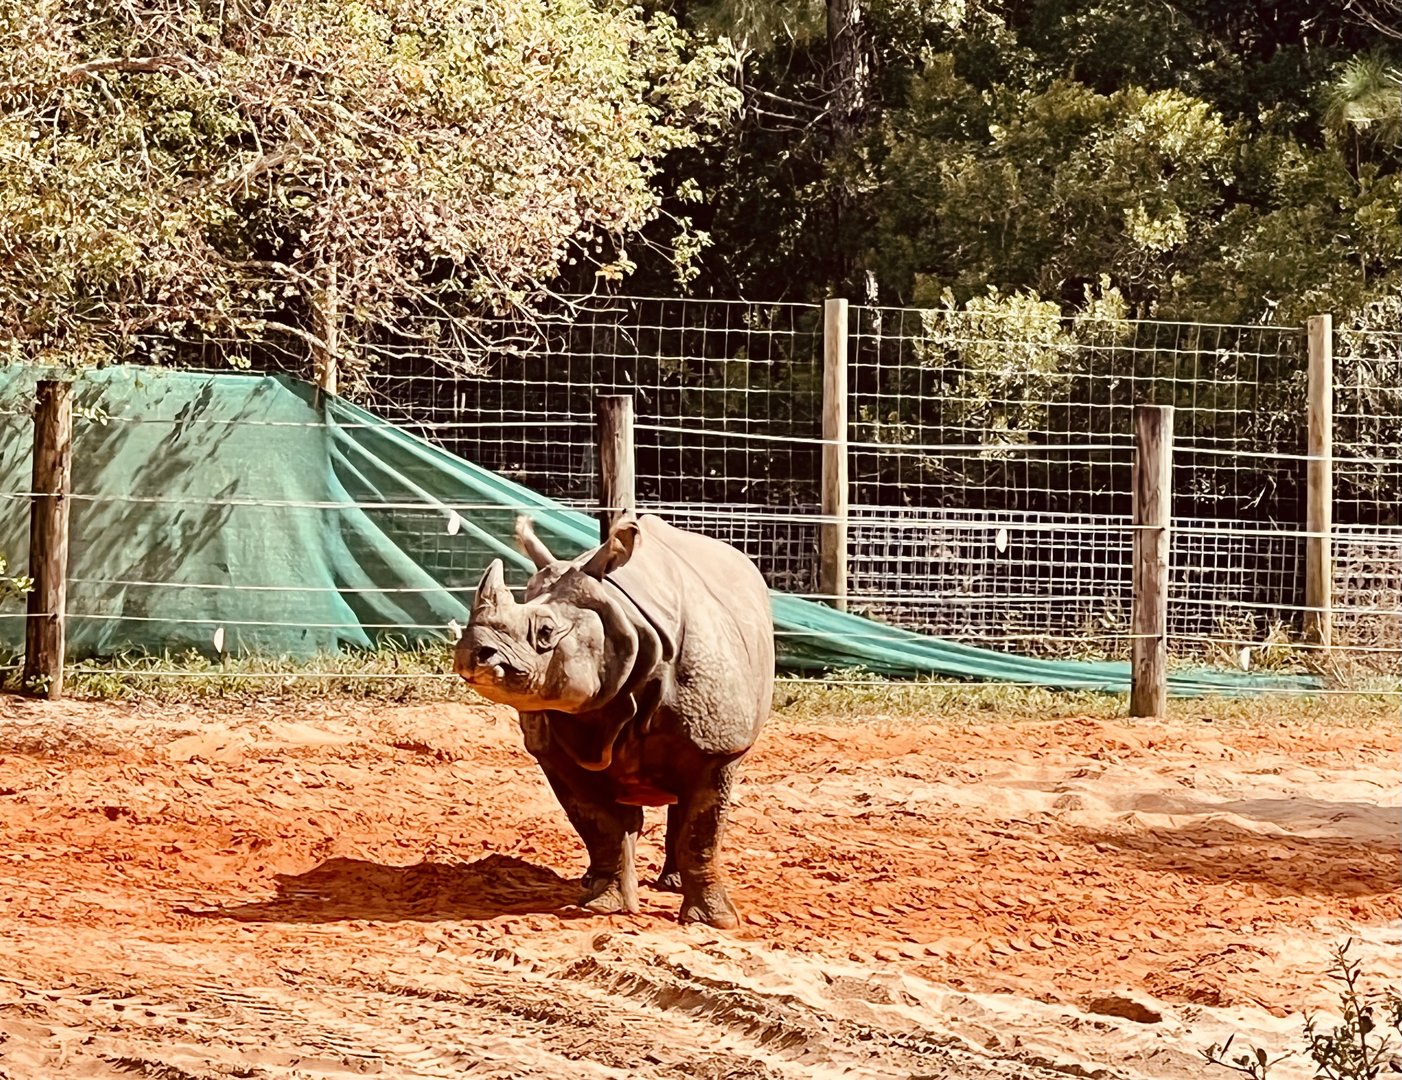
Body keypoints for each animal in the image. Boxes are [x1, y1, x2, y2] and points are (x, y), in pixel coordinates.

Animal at [454, 512, 774, 929]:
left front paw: (713, 922)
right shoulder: (556, 750)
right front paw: (603, 907)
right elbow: (599, 824)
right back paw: (595, 882)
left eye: (546, 633)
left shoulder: (718, 746)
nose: (472, 653)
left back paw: (669, 885)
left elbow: (702, 834)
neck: (626, 622)